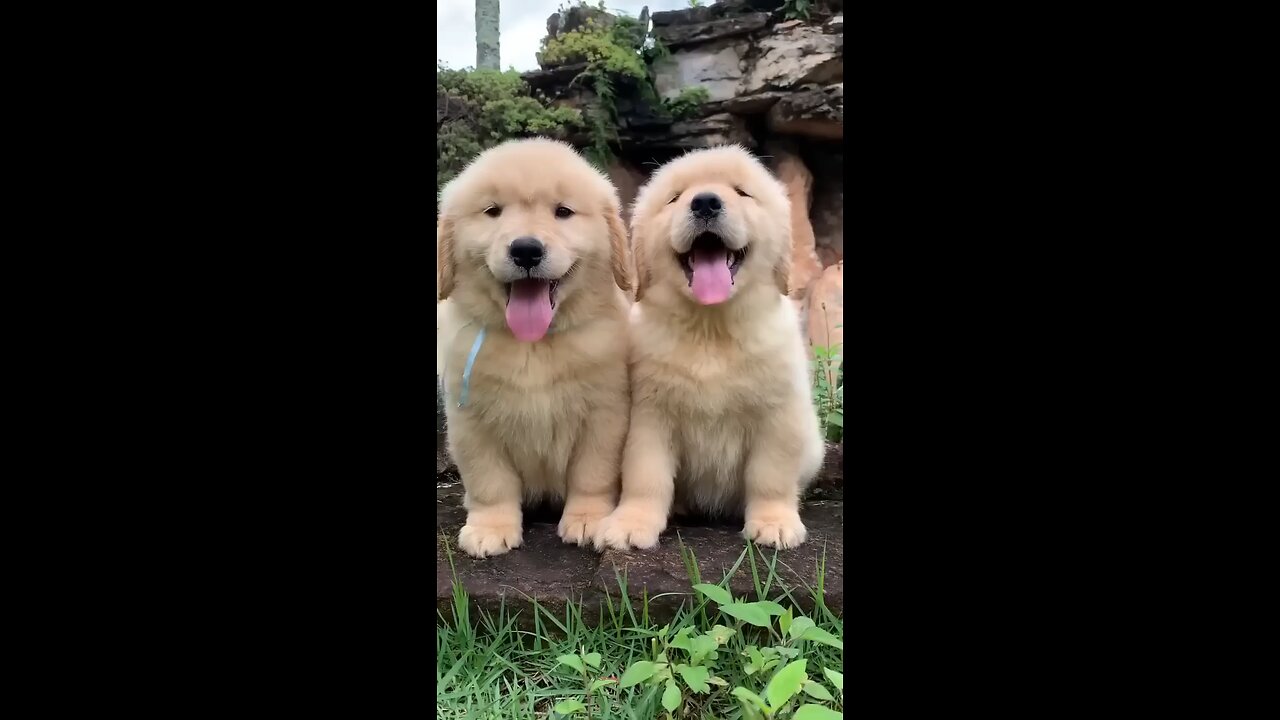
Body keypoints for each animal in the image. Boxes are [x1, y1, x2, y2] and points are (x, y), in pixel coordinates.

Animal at [437, 139, 632, 556]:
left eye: (563, 212)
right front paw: (490, 528)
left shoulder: (604, 414)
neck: (534, 345)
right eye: (492, 211)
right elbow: (489, 480)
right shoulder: (471, 421)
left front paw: (588, 519)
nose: (526, 250)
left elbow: (592, 474)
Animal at [596, 146, 824, 548]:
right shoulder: (650, 415)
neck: (710, 328)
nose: (704, 202)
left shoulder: (778, 413)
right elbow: (645, 475)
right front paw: (632, 523)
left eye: (742, 192)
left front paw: (774, 522)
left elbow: (770, 474)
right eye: (674, 197)